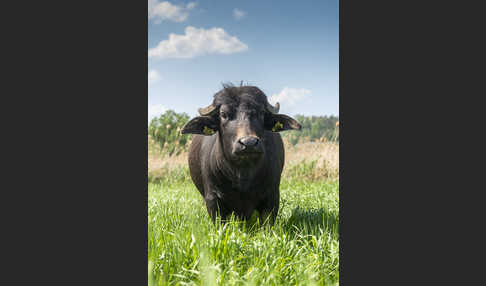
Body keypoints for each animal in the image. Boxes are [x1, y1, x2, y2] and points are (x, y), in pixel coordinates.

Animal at [180, 84, 300, 225]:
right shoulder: (212, 199)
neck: (243, 174)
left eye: (261, 113)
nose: (249, 143)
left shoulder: (272, 197)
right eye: (223, 114)